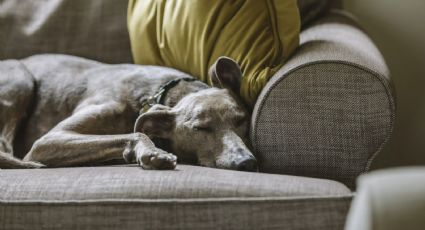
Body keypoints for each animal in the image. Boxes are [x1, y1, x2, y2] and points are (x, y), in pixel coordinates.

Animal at [0, 54, 256, 172]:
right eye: (200, 128)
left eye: (242, 120)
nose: (246, 162)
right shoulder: (46, 142)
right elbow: (135, 133)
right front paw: (153, 153)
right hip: (21, 77)